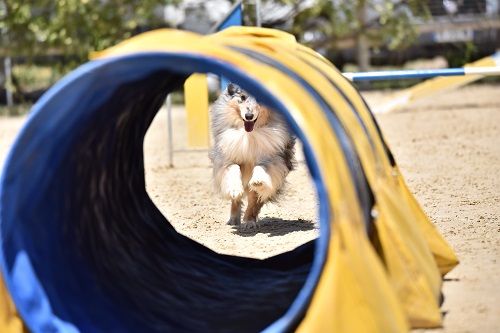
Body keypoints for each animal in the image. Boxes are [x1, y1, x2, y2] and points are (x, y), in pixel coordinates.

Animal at [209, 82, 294, 228]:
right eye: (242, 97)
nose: (249, 116)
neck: (249, 134)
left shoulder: (273, 158)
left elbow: (261, 170)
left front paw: (258, 180)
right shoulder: (227, 156)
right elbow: (233, 169)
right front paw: (234, 190)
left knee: (255, 198)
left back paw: (249, 221)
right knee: (238, 200)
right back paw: (233, 219)